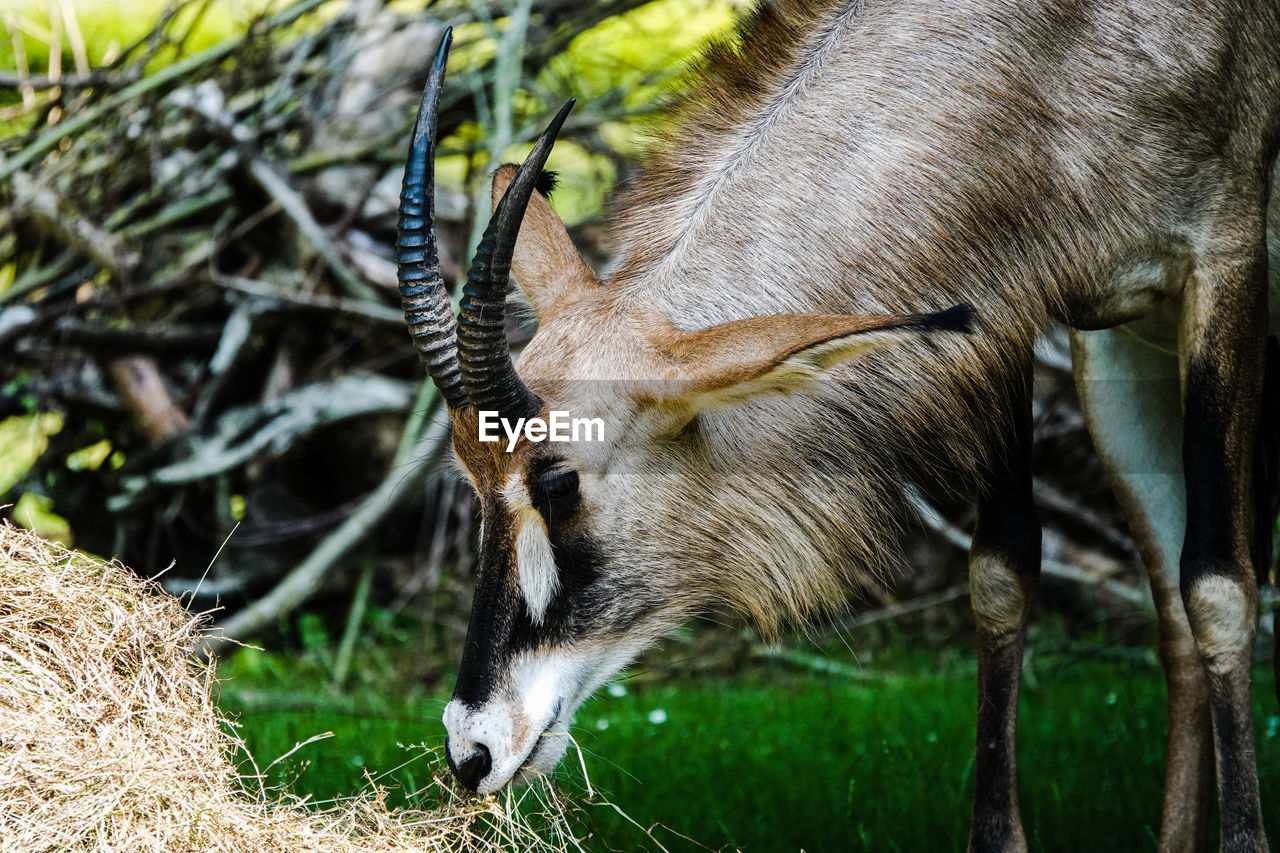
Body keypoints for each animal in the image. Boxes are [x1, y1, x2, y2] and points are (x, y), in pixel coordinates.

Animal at [394, 3, 1274, 845]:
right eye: (470, 474)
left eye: (559, 480)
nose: (472, 749)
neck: (1059, 46)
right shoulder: (1008, 303)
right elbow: (1001, 576)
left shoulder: (1225, 254)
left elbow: (1220, 588)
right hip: (1119, 340)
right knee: (1166, 603)